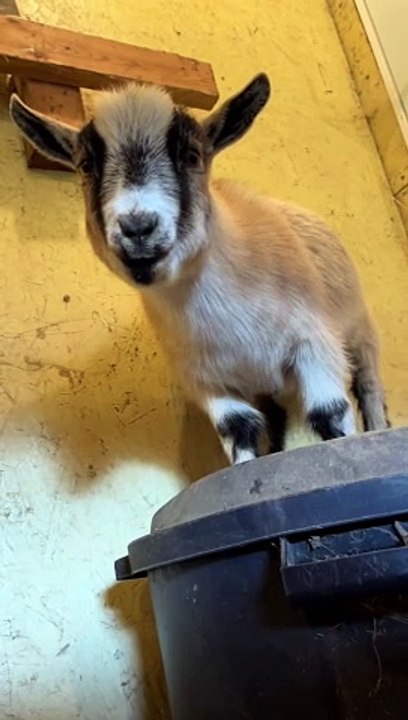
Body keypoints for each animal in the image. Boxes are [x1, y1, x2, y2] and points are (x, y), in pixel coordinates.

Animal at [9, 74, 390, 465]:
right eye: (85, 164)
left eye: (192, 156)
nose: (138, 227)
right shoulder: (205, 380)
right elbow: (239, 429)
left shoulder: (313, 342)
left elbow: (329, 414)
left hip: (359, 330)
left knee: (368, 386)